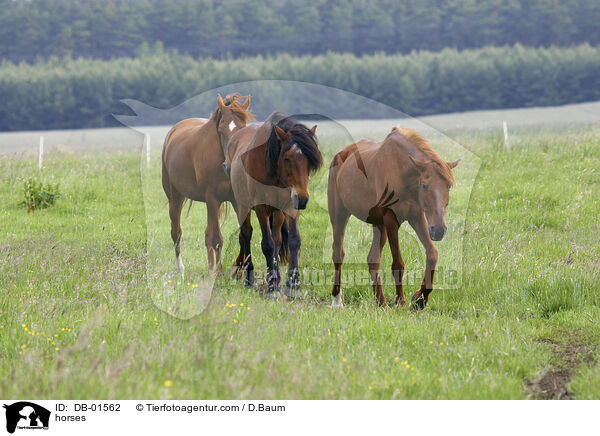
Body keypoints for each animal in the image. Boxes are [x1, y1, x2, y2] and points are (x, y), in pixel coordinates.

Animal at [161, 94, 252, 278]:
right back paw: (182, 269)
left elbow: (243, 234)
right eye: (221, 130)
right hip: (176, 198)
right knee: (177, 233)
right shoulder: (212, 198)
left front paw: (241, 271)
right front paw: (218, 273)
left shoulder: (237, 202)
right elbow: (216, 238)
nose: (230, 166)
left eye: (242, 128)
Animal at [227, 110, 324, 298]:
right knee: (246, 234)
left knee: (277, 239)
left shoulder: (289, 207)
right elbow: (267, 244)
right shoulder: (261, 208)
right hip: (242, 206)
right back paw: (249, 278)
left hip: (278, 212)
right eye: (286, 158)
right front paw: (272, 286)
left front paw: (293, 285)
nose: (303, 198)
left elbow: (293, 241)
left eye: (309, 160)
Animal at [328, 127, 460, 310]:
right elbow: (398, 263)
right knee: (338, 253)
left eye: (448, 186)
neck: (402, 171)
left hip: (378, 224)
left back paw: (381, 302)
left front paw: (420, 299)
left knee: (373, 259)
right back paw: (337, 299)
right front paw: (401, 301)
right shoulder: (392, 220)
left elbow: (432, 253)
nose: (439, 230)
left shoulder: (417, 217)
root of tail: (340, 154)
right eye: (424, 185)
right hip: (339, 215)